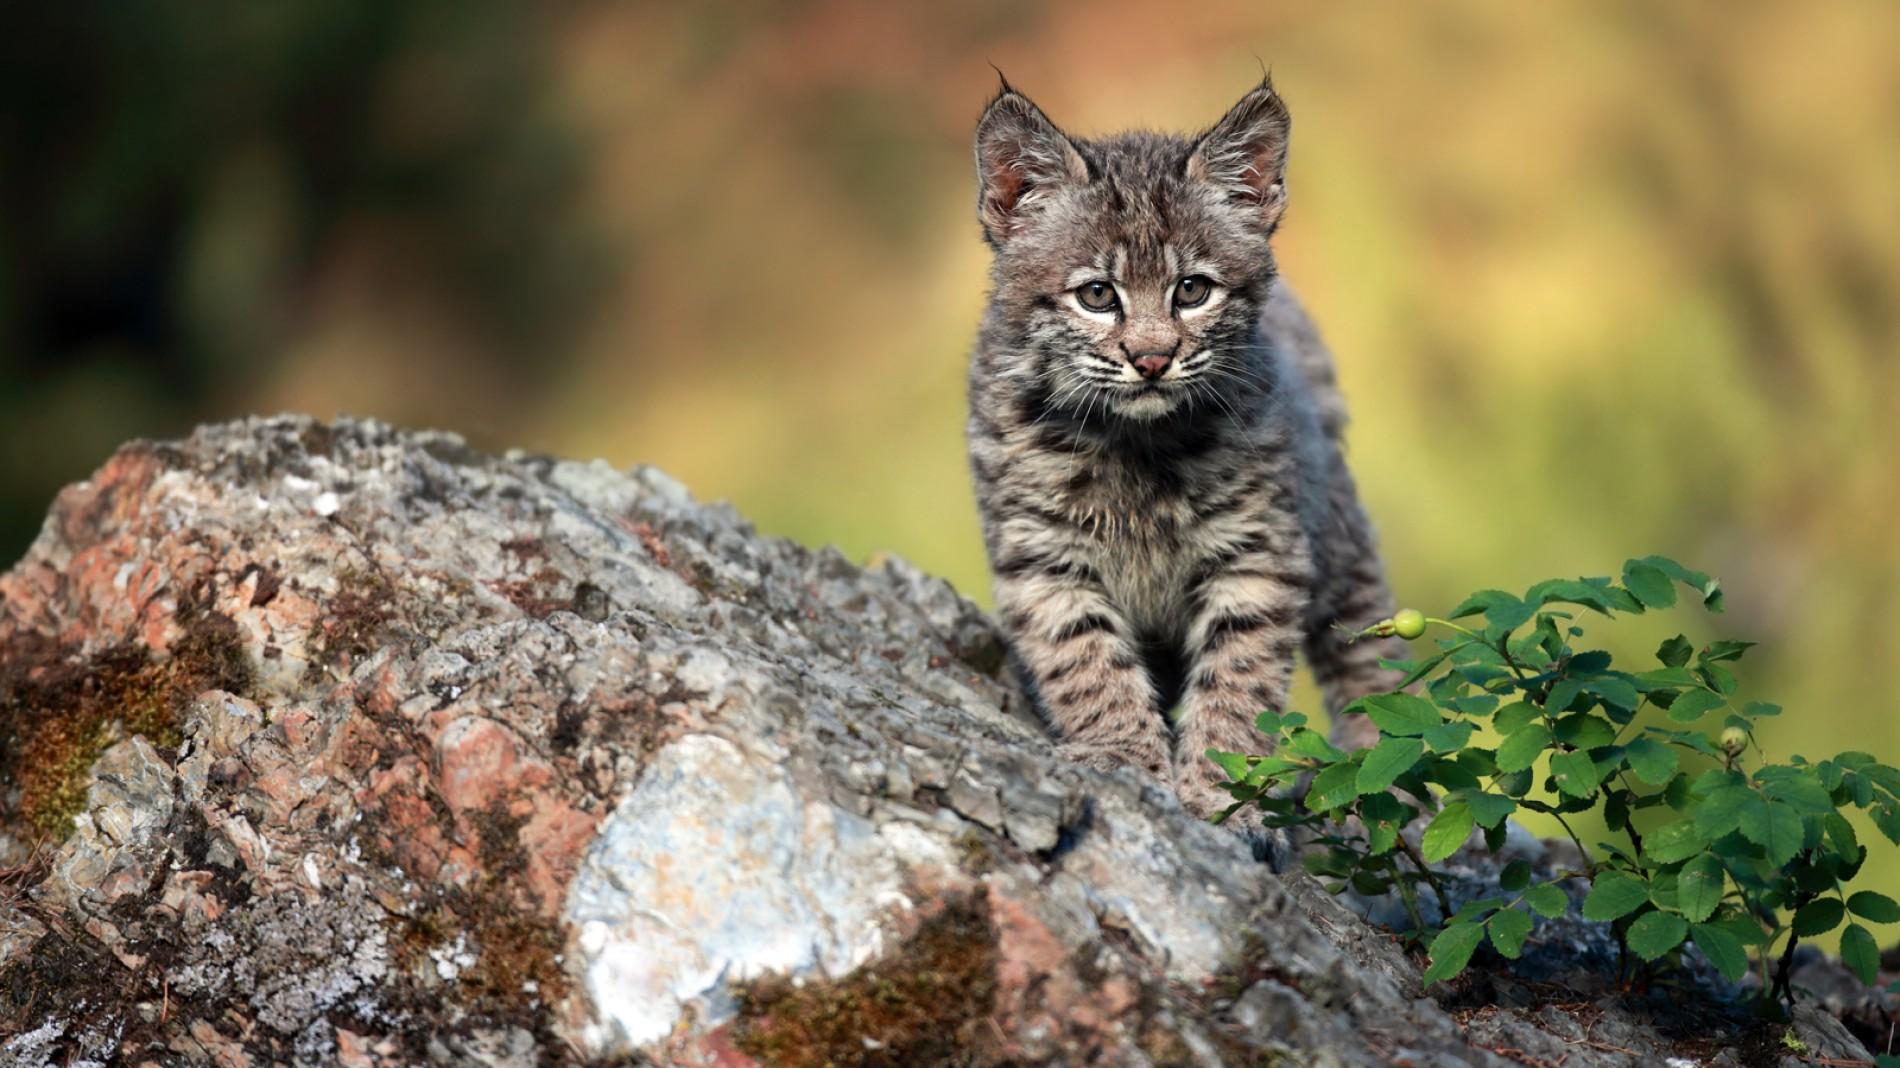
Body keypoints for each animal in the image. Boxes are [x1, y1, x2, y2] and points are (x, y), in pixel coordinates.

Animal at [972, 81, 1406, 813]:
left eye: (1193, 290)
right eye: (1097, 295)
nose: (1151, 360)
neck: (1137, 443)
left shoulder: (1256, 555)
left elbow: (1238, 680)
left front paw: (1221, 793)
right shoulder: (1044, 558)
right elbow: (1087, 661)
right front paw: (1123, 757)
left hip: (1338, 531)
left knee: (1367, 647)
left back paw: (1383, 770)